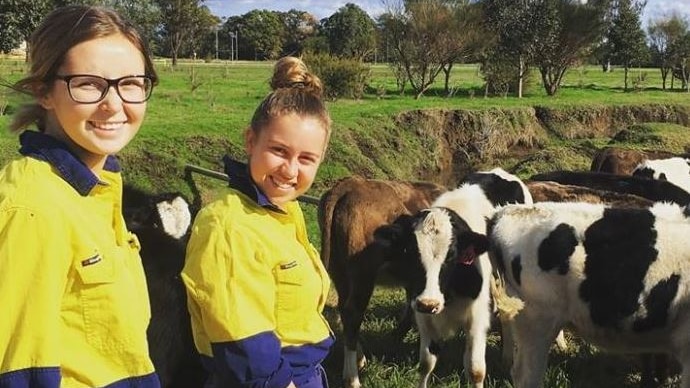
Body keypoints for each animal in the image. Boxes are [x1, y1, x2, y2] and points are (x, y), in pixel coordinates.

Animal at [316, 175, 444, 388]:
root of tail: (350, 184)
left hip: (339, 268)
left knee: (344, 308)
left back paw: (360, 358)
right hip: (363, 271)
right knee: (352, 312)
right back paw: (352, 378)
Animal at [376, 169, 532, 388]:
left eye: (451, 255)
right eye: (410, 252)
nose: (429, 303)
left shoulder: (477, 318)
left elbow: (476, 370)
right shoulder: (424, 315)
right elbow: (426, 363)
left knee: (506, 316)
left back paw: (507, 358)